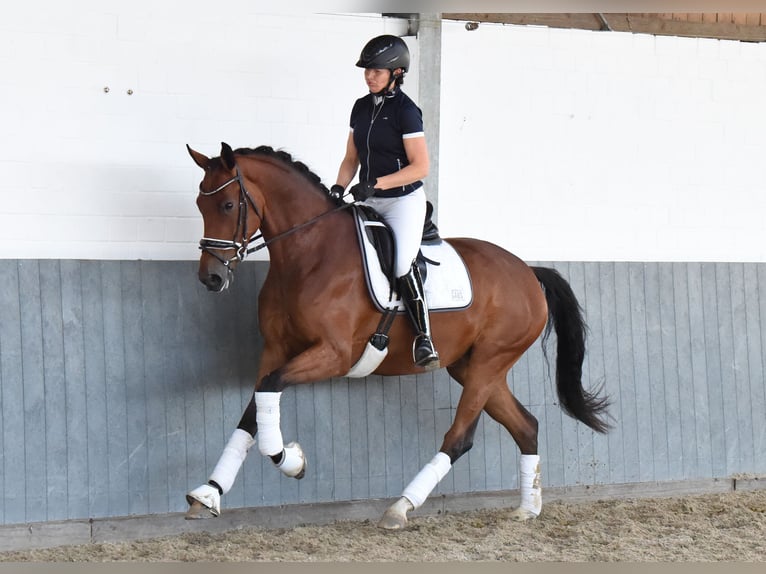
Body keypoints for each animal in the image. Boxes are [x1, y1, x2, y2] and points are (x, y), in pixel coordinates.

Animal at [183, 143, 608, 532]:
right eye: (200, 205)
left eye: (227, 205)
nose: (211, 278)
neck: (310, 254)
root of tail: (527, 272)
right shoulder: (275, 350)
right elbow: (254, 409)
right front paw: (209, 493)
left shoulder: (334, 354)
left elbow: (269, 393)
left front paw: (292, 460)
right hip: (472, 367)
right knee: (526, 426)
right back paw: (527, 509)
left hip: (490, 362)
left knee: (459, 438)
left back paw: (401, 507)